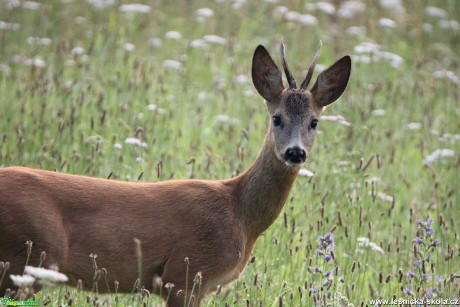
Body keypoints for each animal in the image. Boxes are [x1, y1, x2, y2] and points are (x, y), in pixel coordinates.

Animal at [0, 42, 350, 306]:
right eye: (277, 118)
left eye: (314, 122)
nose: (295, 152)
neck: (240, 214)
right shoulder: (185, 274)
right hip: (26, 258)